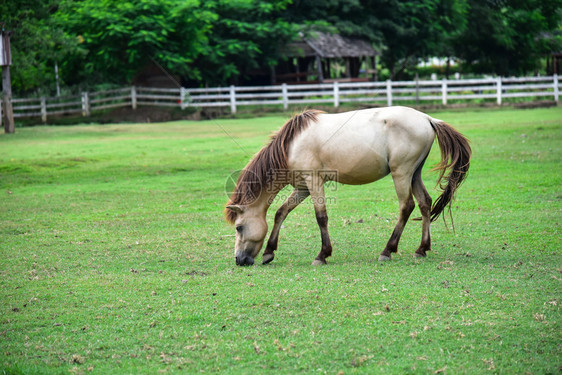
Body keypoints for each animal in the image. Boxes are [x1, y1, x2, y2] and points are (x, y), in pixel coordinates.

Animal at [223, 106, 468, 268]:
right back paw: (421, 249)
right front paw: (269, 252)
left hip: (402, 173)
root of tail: (427, 118)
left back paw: (387, 250)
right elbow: (281, 213)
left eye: (239, 228)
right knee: (425, 203)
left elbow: (321, 217)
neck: (291, 145)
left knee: (406, 207)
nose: (239, 260)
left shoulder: (314, 182)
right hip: (414, 174)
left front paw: (322, 255)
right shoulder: (302, 187)